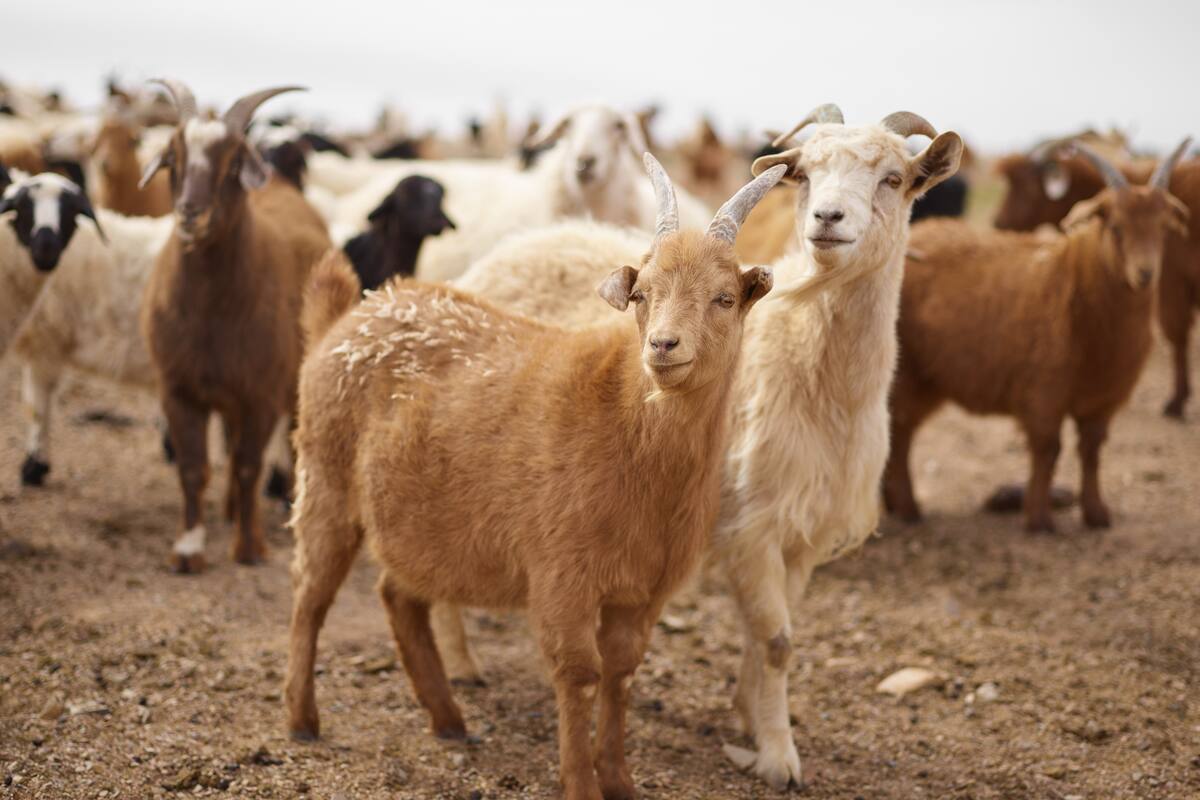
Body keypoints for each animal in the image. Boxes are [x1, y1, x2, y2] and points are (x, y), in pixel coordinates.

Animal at [139, 79, 332, 573]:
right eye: (173, 158)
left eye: (231, 166)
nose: (190, 212)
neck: (213, 314)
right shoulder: (178, 389)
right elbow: (193, 467)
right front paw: (189, 549)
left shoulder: (261, 393)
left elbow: (249, 466)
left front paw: (249, 547)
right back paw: (226, 509)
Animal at [284, 155, 782, 800]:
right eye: (641, 294)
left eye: (724, 298)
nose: (663, 345)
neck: (625, 419)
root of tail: (344, 319)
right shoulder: (562, 573)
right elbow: (579, 671)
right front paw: (580, 783)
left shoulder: (643, 589)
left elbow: (622, 672)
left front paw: (620, 780)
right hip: (322, 480)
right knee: (310, 596)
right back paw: (302, 719)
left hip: (417, 520)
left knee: (398, 594)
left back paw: (447, 718)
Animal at [884, 141, 1190, 533]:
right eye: (1115, 227)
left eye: (1164, 228)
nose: (1144, 274)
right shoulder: (1044, 391)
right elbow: (1048, 449)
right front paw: (1039, 518)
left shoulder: (1104, 398)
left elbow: (1091, 450)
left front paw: (1096, 514)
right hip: (907, 375)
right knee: (901, 432)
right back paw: (908, 509)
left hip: (928, 379)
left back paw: (894, 504)